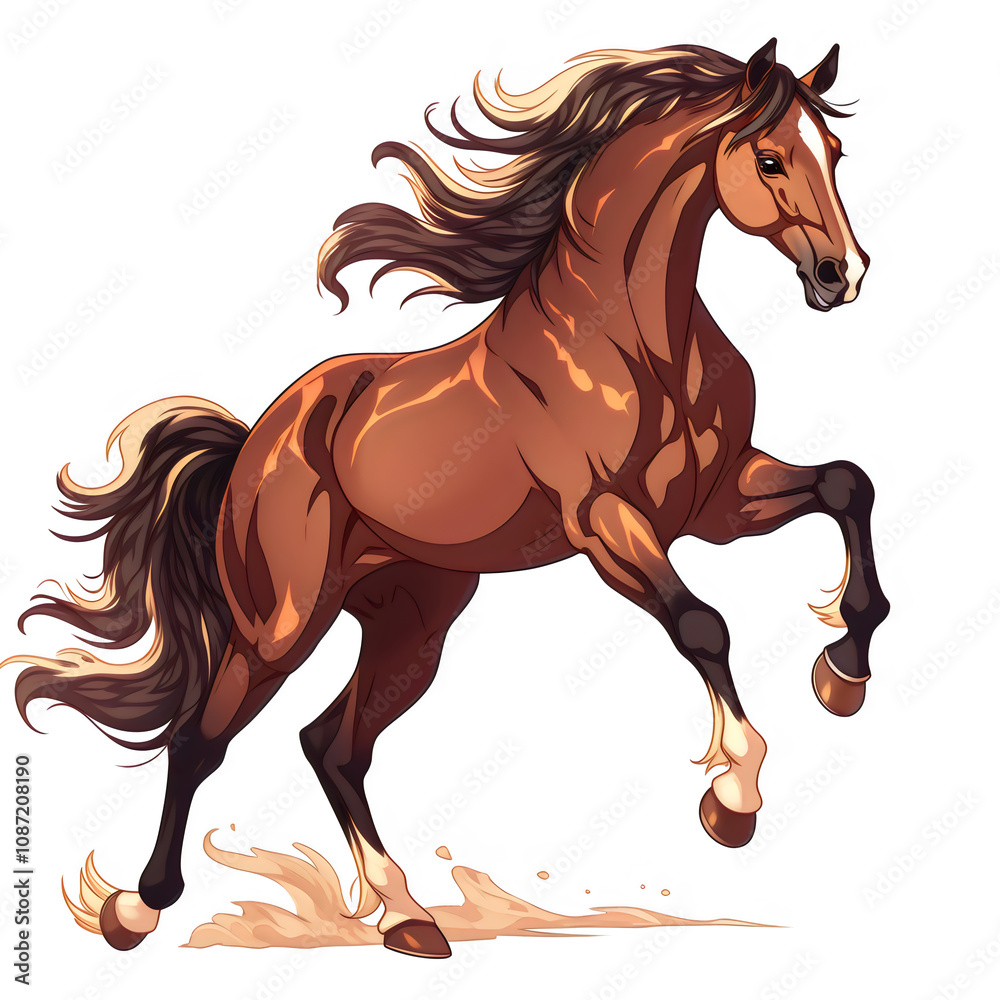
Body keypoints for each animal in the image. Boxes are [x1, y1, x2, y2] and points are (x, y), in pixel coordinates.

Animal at [5, 39, 889, 960]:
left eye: (836, 152)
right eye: (769, 158)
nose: (844, 275)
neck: (637, 342)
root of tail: (255, 442)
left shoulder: (716, 504)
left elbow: (847, 484)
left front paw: (844, 674)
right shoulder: (607, 523)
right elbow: (703, 624)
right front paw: (733, 800)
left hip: (414, 620)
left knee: (333, 744)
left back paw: (406, 916)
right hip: (281, 624)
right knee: (200, 741)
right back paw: (136, 909)